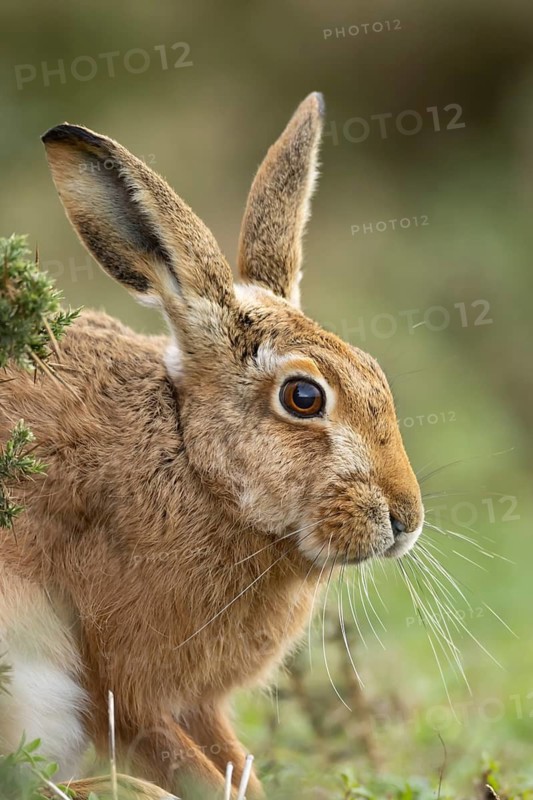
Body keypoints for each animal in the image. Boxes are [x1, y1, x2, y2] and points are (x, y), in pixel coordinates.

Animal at [0, 92, 424, 799]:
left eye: (375, 372)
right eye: (303, 397)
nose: (405, 519)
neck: (196, 468)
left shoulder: (199, 703)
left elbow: (235, 766)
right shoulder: (123, 680)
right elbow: (189, 767)